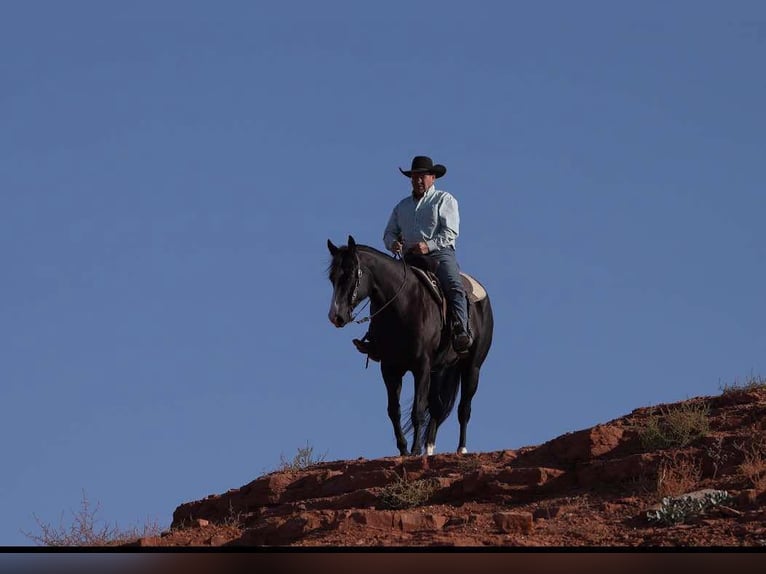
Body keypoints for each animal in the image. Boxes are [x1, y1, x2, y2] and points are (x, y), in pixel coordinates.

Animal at [328, 236, 496, 456]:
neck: (403, 304)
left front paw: (414, 450)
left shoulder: (421, 366)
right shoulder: (390, 369)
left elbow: (418, 409)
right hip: (439, 369)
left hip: (472, 367)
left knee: (464, 409)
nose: (335, 316)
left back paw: (461, 449)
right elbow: (394, 410)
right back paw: (429, 450)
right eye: (332, 278)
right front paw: (404, 450)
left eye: (349, 274)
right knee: (437, 406)